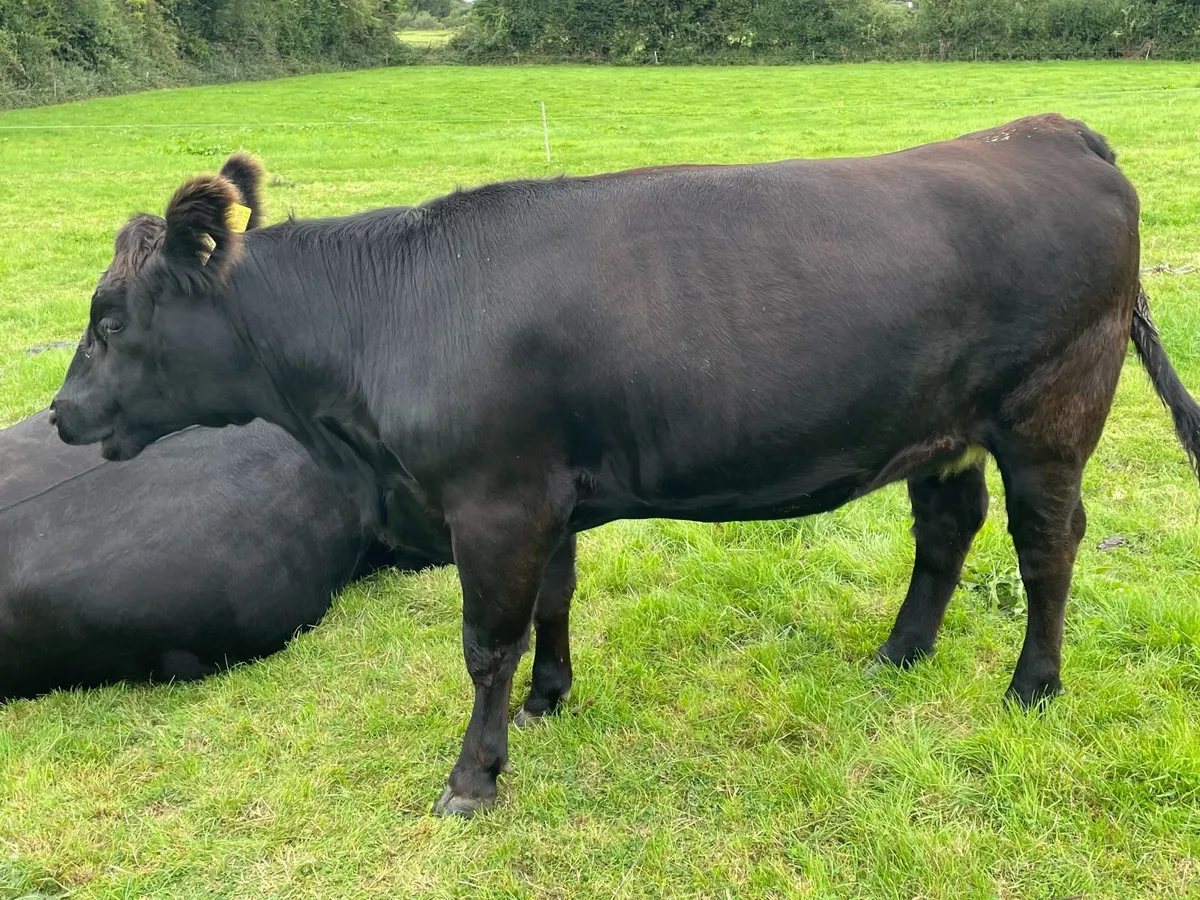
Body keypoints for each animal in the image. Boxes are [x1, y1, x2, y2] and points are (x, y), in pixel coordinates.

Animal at [49, 115, 1200, 817]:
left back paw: (1033, 685)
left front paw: (474, 775)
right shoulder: (544, 494)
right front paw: (549, 701)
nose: (60, 412)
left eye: (110, 319)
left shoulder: (493, 502)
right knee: (948, 529)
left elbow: (486, 644)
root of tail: (1047, 131)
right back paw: (900, 653)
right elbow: (553, 606)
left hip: (1050, 414)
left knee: (1047, 546)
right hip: (941, 427)